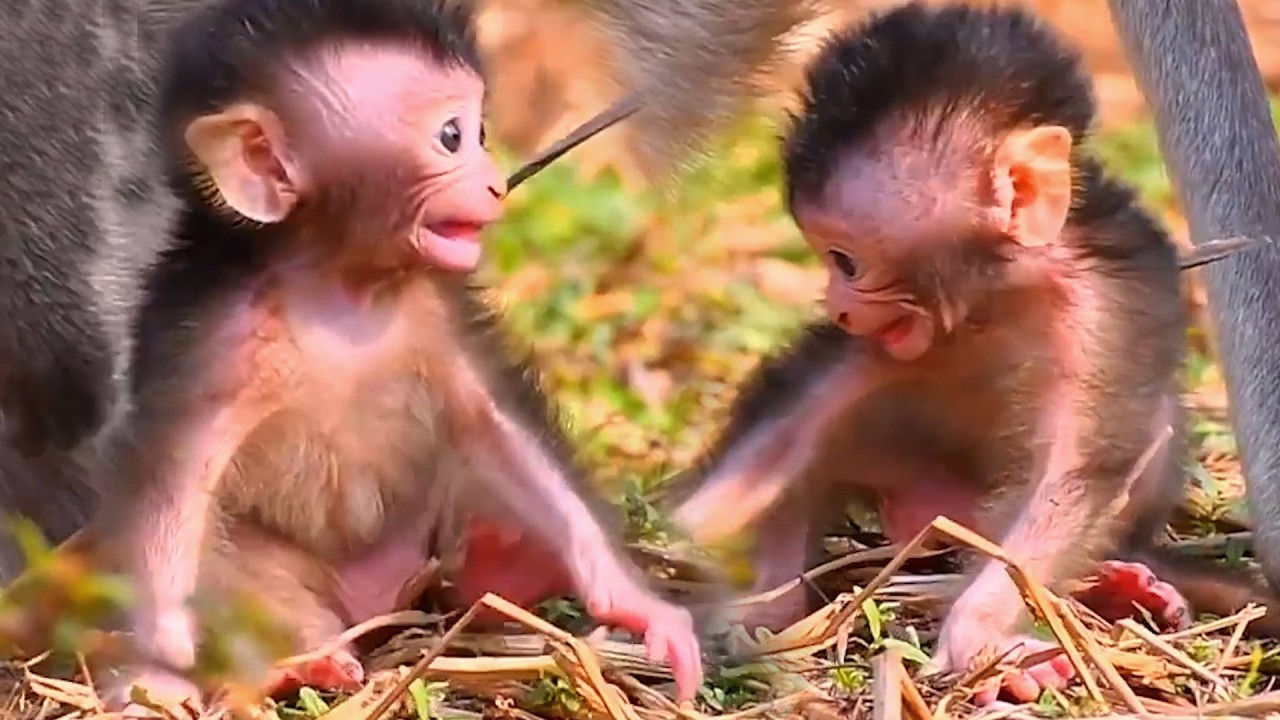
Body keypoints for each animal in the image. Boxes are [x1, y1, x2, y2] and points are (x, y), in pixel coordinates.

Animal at [55, 0, 704, 710]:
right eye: (451, 137)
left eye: (480, 131)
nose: (494, 183)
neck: (344, 287)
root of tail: (379, 599)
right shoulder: (215, 342)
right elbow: (173, 490)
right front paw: (155, 675)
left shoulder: (436, 316)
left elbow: (499, 430)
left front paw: (638, 605)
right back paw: (306, 661)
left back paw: (504, 564)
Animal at [659, 2, 1280, 705]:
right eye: (828, 260)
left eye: (846, 261)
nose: (836, 304)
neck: (1005, 292)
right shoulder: (902, 336)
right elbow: (810, 402)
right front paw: (702, 516)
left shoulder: (1102, 314)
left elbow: (1072, 474)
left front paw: (979, 637)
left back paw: (1125, 586)